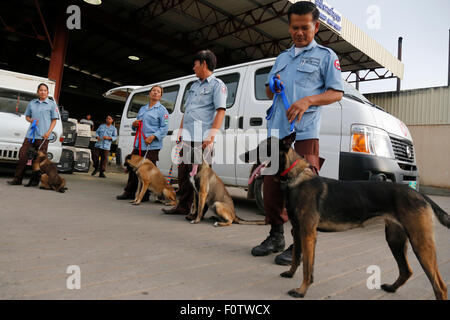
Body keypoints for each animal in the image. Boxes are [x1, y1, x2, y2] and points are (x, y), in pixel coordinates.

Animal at [244, 132, 448, 300]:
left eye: (264, 147)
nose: (243, 156)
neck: (297, 178)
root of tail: (419, 194)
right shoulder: (298, 231)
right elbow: (296, 257)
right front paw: (290, 273)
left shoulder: (308, 234)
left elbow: (307, 268)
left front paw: (301, 291)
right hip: (395, 239)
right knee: (406, 271)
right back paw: (392, 287)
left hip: (420, 243)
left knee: (440, 286)